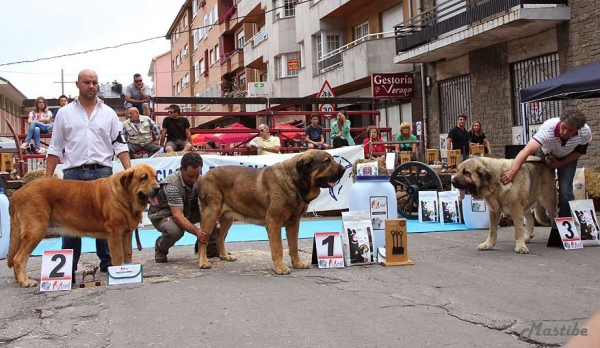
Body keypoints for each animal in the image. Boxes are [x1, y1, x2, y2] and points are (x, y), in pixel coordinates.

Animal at [198, 150, 344, 274]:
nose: (343, 169)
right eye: (327, 161)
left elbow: (294, 246)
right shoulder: (274, 222)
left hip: (227, 218)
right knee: (203, 239)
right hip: (211, 213)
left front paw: (297, 263)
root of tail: (202, 177)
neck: (293, 182)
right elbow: (278, 247)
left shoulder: (294, 223)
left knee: (219, 237)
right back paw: (203, 262)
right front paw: (280, 268)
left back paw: (225, 256)